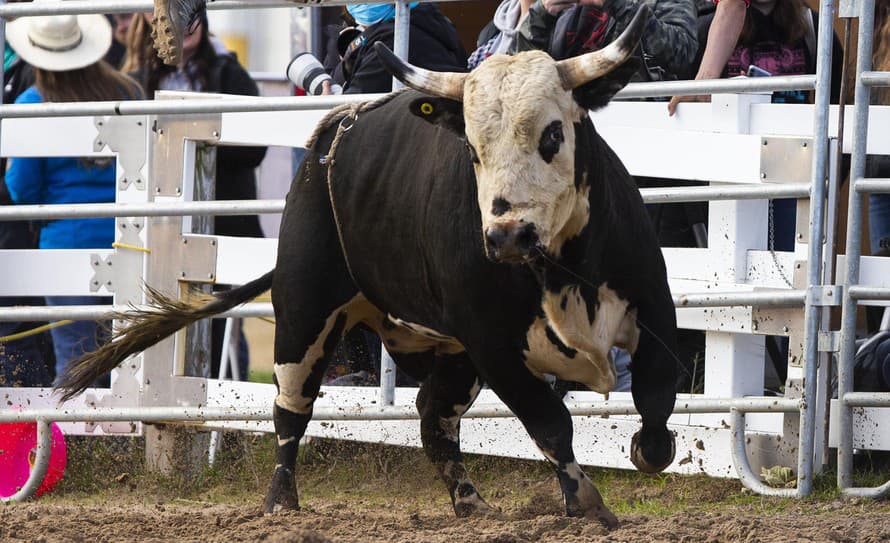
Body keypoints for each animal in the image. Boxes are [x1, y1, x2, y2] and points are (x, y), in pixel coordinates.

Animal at [57, 4, 672, 528]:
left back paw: (470, 504)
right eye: (473, 150)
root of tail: (329, 137)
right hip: (305, 312)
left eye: (553, 134)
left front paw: (641, 450)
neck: (562, 273)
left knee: (432, 417)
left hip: (445, 347)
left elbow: (657, 409)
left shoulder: (653, 311)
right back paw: (281, 503)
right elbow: (550, 423)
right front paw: (587, 504)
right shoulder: (494, 345)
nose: (505, 235)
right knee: (292, 409)